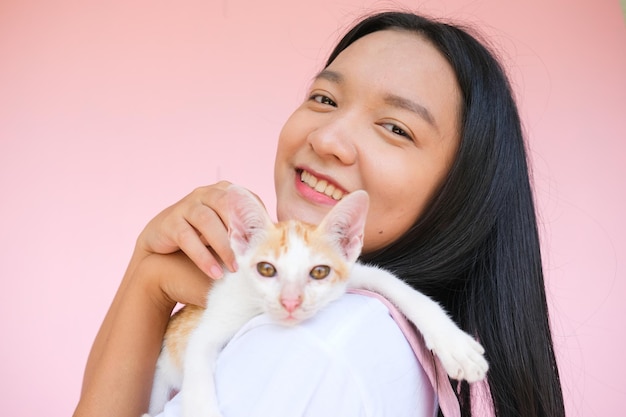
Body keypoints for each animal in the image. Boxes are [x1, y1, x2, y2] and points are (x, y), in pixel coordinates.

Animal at [143, 186, 488, 416]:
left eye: (319, 272)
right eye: (266, 269)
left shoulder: (352, 273)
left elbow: (391, 282)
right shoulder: (218, 312)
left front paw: (454, 344)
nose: (291, 301)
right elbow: (198, 353)